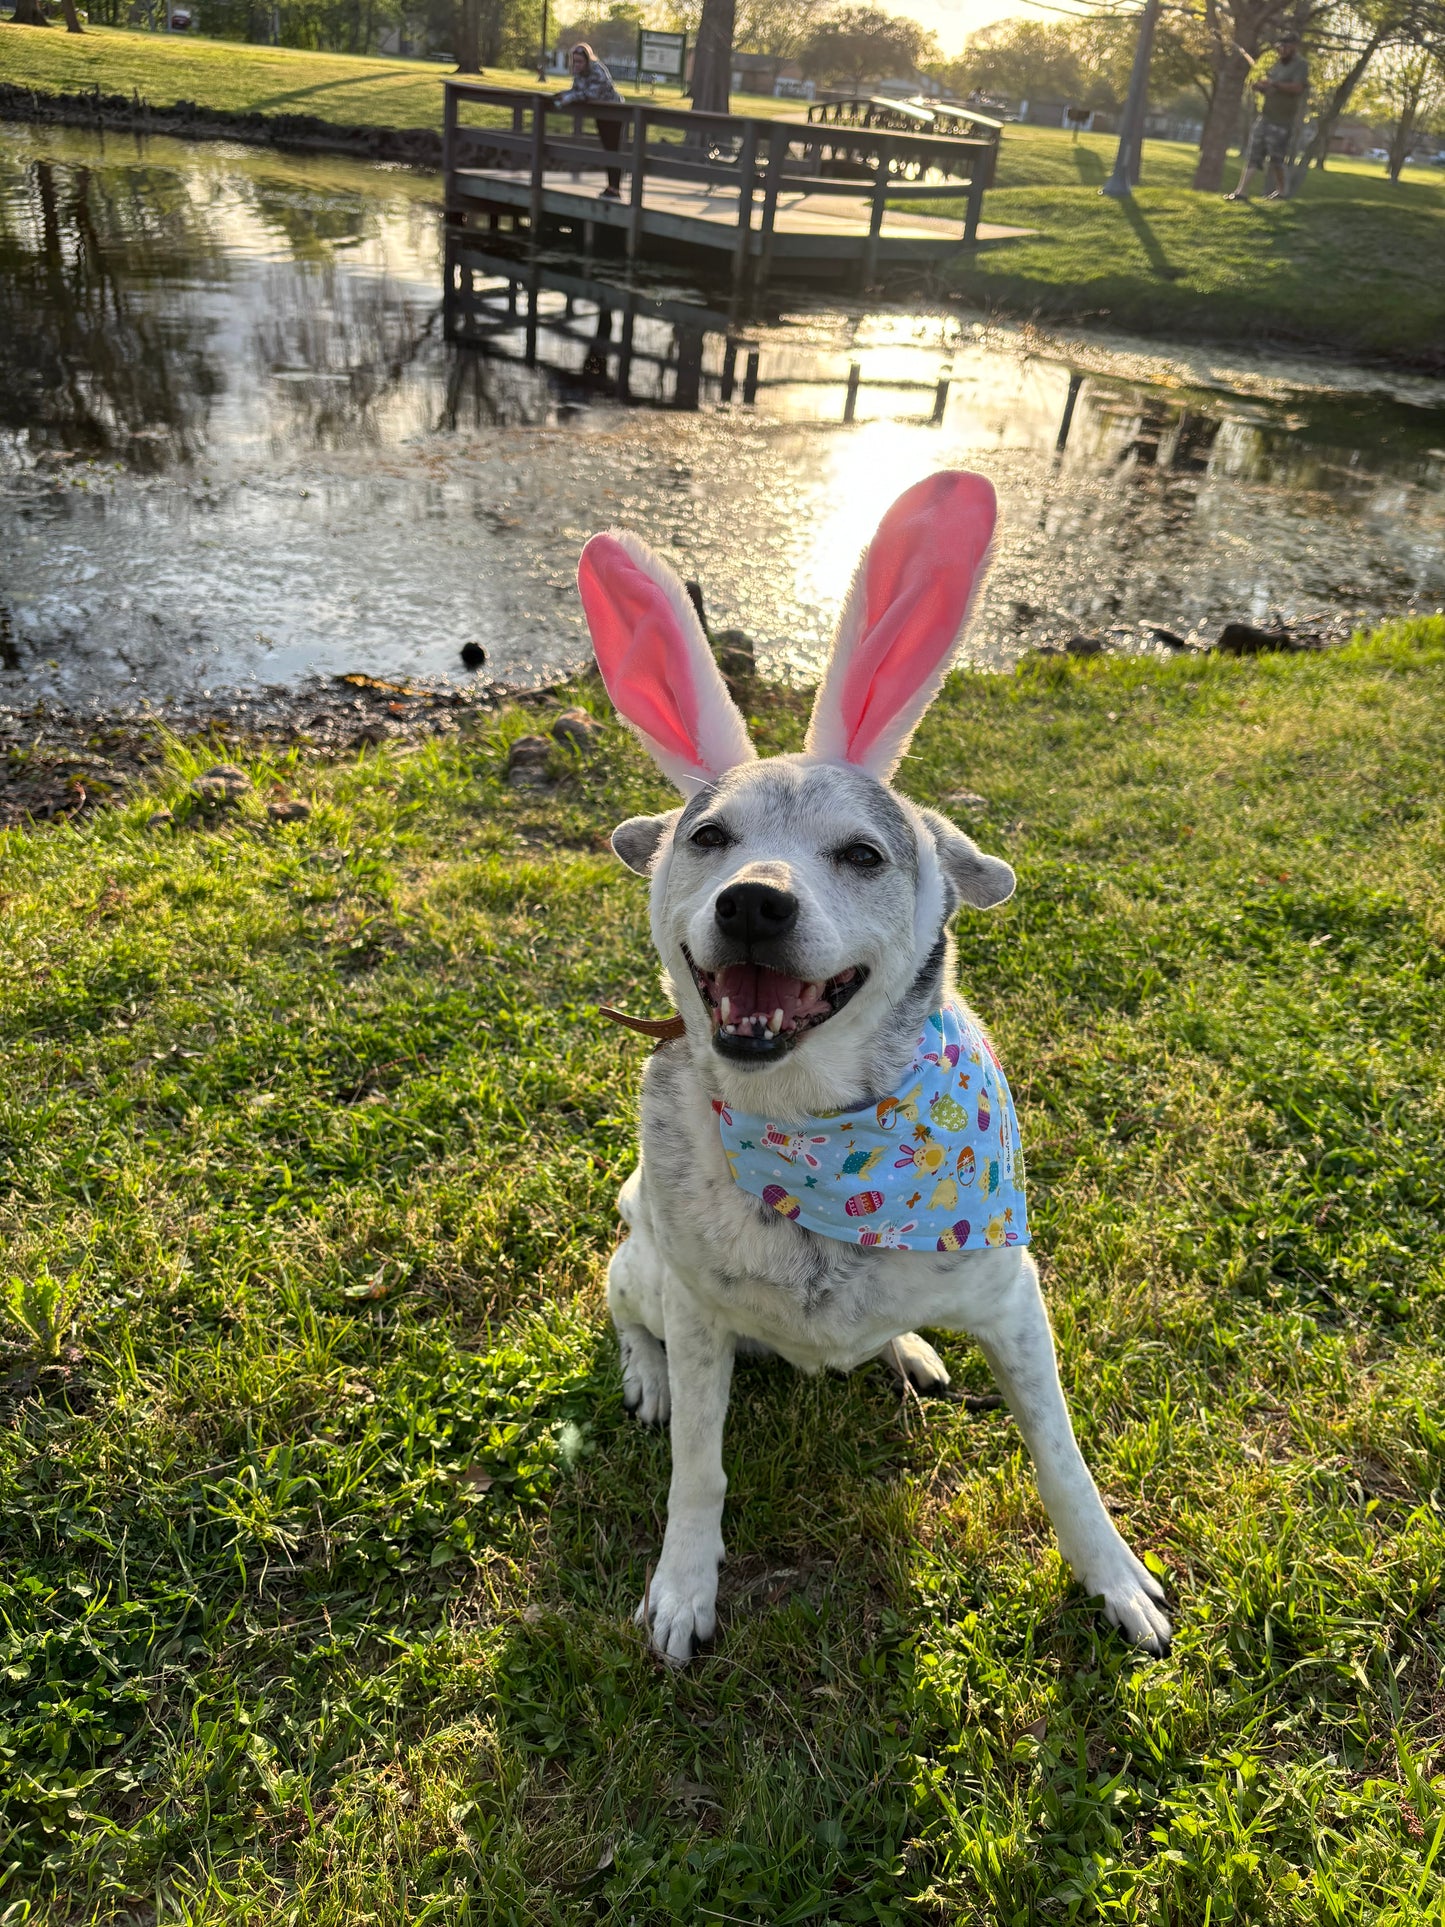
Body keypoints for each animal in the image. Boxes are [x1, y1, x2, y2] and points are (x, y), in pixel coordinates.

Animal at [578, 474, 1179, 1664]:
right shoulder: (703, 1319)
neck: (819, 1134)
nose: (752, 903)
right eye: (708, 838)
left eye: (860, 853)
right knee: (630, 1315)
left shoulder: (1012, 1301)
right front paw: (682, 1586)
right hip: (645, 1269)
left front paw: (1112, 1576)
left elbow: (1062, 1459)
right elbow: (697, 1473)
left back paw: (905, 1347)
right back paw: (645, 1378)